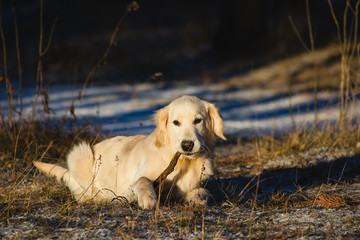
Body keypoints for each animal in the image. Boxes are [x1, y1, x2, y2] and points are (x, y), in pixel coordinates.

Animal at [33, 95, 225, 208]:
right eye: (175, 122)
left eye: (198, 120)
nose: (187, 145)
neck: (182, 162)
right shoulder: (134, 183)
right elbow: (143, 181)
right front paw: (148, 200)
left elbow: (204, 192)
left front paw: (197, 198)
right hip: (80, 153)